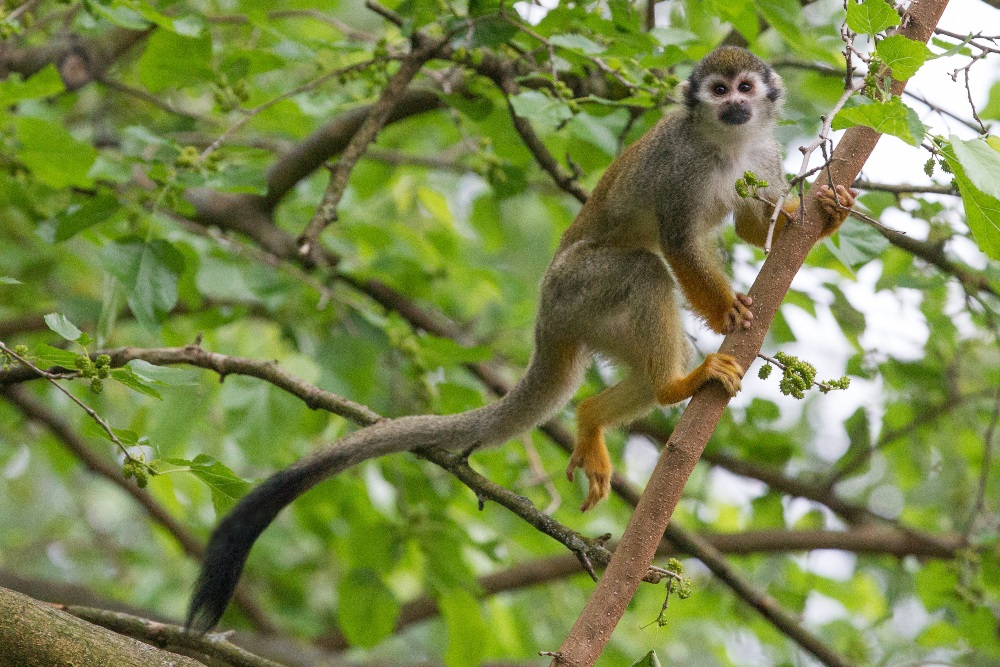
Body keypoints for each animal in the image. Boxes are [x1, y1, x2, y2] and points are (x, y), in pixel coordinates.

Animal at [186, 47, 852, 632]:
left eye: (745, 88)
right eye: (717, 91)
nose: (735, 104)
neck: (725, 142)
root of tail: (545, 324)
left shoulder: (762, 150)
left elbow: (756, 222)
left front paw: (825, 209)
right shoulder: (679, 167)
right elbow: (681, 243)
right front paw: (728, 312)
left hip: (587, 317)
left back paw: (598, 413)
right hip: (576, 290)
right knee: (645, 270)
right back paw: (674, 385)